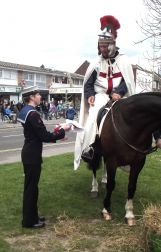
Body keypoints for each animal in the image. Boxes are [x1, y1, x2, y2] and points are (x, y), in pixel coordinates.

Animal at [87, 92, 160, 226]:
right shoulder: (112, 160)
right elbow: (111, 184)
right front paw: (106, 210)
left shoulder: (138, 162)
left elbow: (131, 186)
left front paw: (129, 214)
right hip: (96, 153)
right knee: (94, 167)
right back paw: (94, 188)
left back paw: (103, 180)